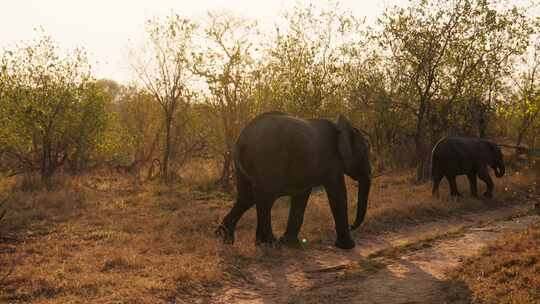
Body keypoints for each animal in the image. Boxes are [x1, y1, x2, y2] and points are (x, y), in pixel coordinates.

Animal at [215, 111, 372, 249]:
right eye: (365, 152)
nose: (352, 225)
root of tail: (242, 139)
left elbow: (301, 196)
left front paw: (290, 244)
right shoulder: (332, 163)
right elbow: (338, 195)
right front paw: (348, 246)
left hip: (245, 167)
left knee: (247, 198)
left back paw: (224, 238)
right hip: (268, 160)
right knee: (265, 199)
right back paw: (268, 243)